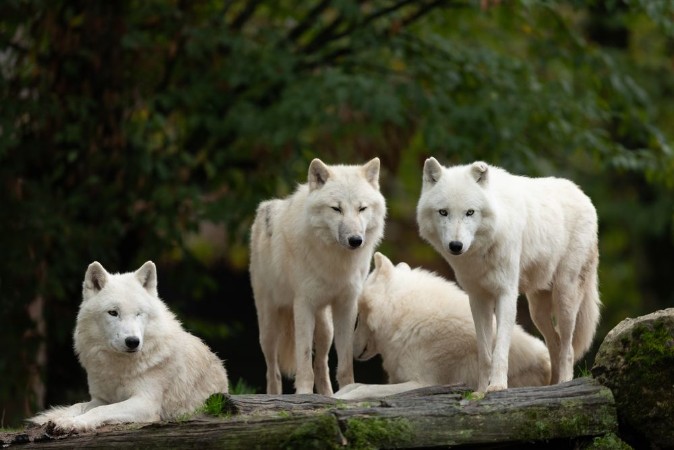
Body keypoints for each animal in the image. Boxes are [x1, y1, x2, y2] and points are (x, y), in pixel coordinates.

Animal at [28, 261, 229, 432]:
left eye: (139, 313)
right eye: (113, 312)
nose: (132, 341)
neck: (119, 366)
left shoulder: (144, 402)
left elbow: (100, 411)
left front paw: (75, 423)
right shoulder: (101, 398)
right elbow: (78, 406)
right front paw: (59, 418)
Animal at [250, 157, 386, 395]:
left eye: (362, 208)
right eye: (336, 209)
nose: (355, 240)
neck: (335, 262)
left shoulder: (347, 306)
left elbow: (344, 363)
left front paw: (348, 390)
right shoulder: (303, 305)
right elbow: (304, 362)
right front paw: (303, 394)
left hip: (325, 329)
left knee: (321, 363)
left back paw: (328, 395)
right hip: (268, 327)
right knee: (273, 371)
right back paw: (274, 395)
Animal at [334, 253, 550, 400]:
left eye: (359, 316)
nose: (350, 349)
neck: (407, 318)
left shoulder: (423, 383)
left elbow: (366, 388)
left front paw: (341, 398)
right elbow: (356, 385)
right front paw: (337, 393)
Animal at [416, 158, 600, 392]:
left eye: (470, 212)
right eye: (443, 212)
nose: (456, 246)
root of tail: (583, 195)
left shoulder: (507, 294)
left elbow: (500, 349)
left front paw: (497, 386)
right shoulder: (478, 298)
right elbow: (485, 353)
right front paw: (480, 391)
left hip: (565, 298)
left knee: (567, 348)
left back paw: (564, 384)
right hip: (537, 311)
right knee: (555, 343)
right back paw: (549, 386)